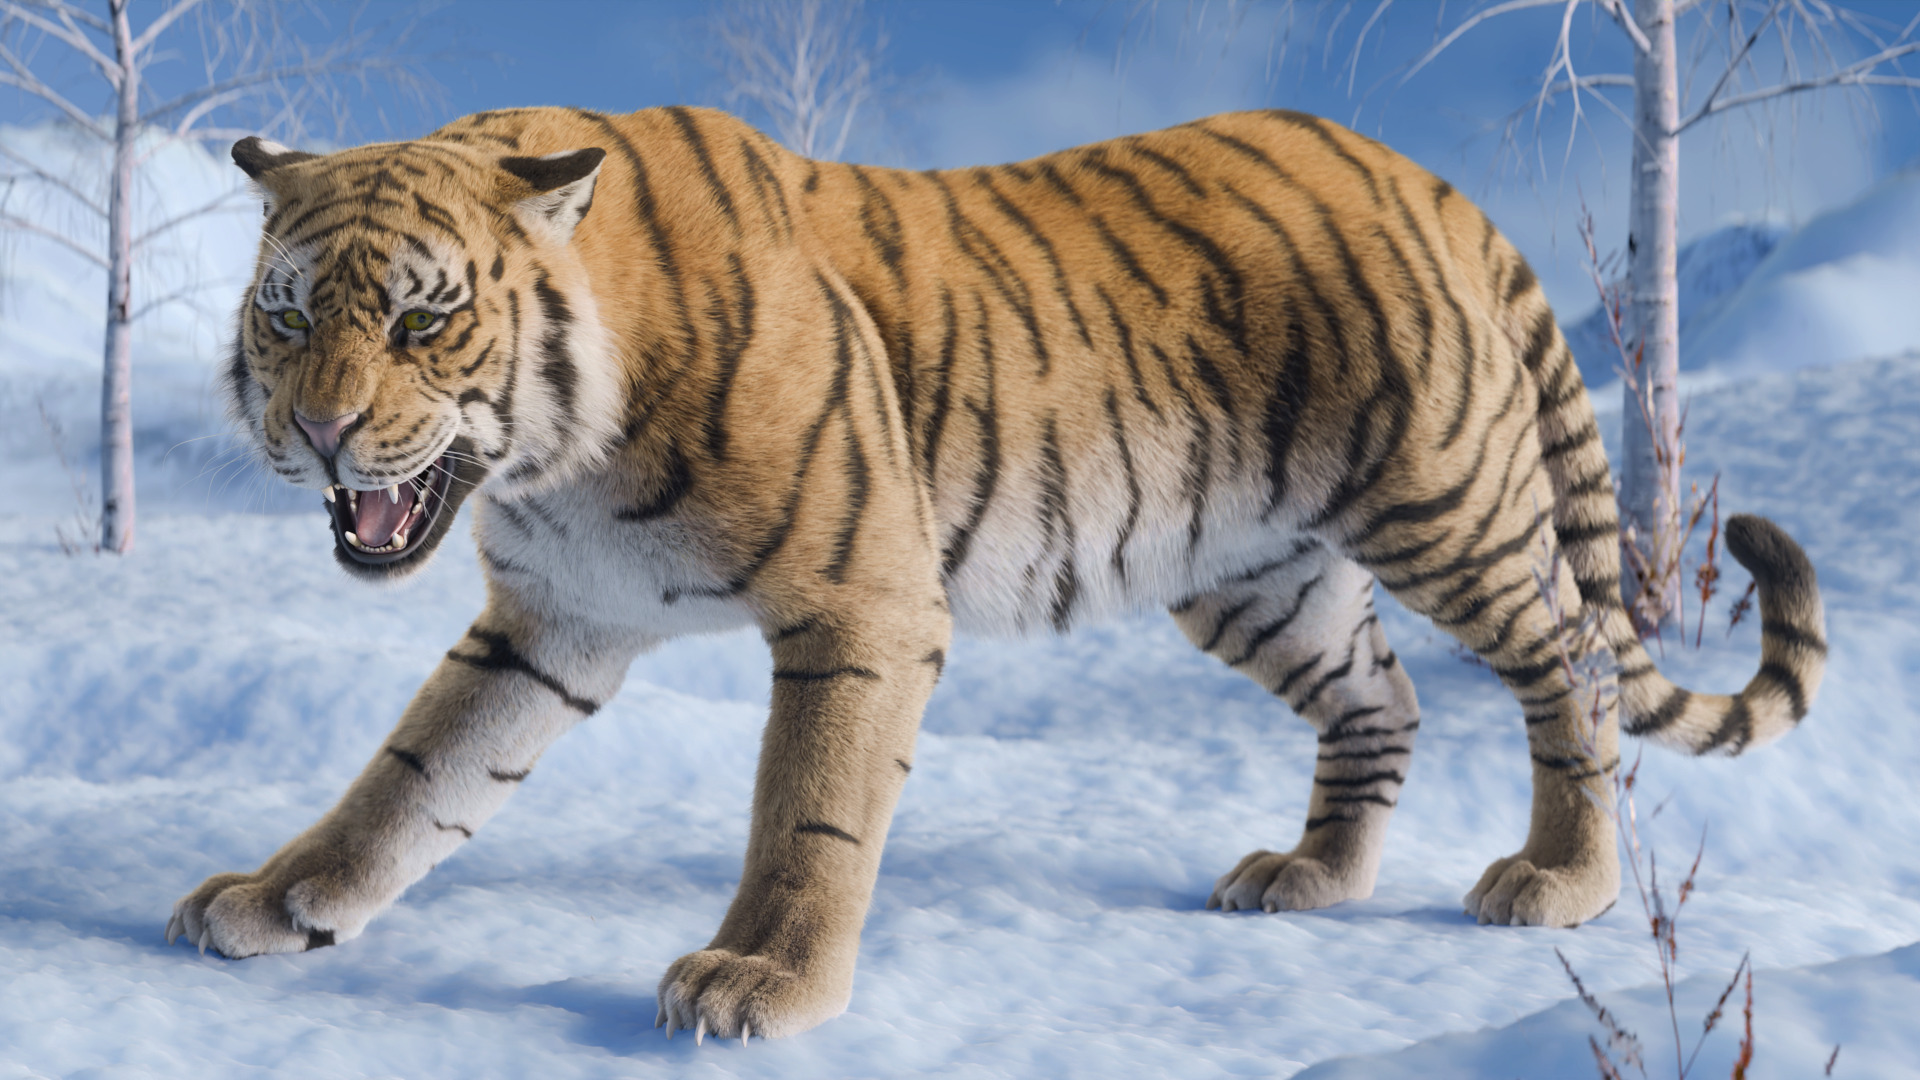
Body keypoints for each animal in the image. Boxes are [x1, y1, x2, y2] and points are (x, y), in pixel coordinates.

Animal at [167, 105, 1828, 1043]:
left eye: (424, 317)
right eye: (287, 313)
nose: (318, 430)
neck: (555, 456)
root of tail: (1420, 172)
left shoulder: (861, 601)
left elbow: (811, 809)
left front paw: (762, 982)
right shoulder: (556, 619)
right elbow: (408, 781)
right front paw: (282, 901)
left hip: (1448, 505)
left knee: (1575, 664)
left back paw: (1562, 881)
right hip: (1251, 567)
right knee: (1383, 698)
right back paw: (1312, 879)